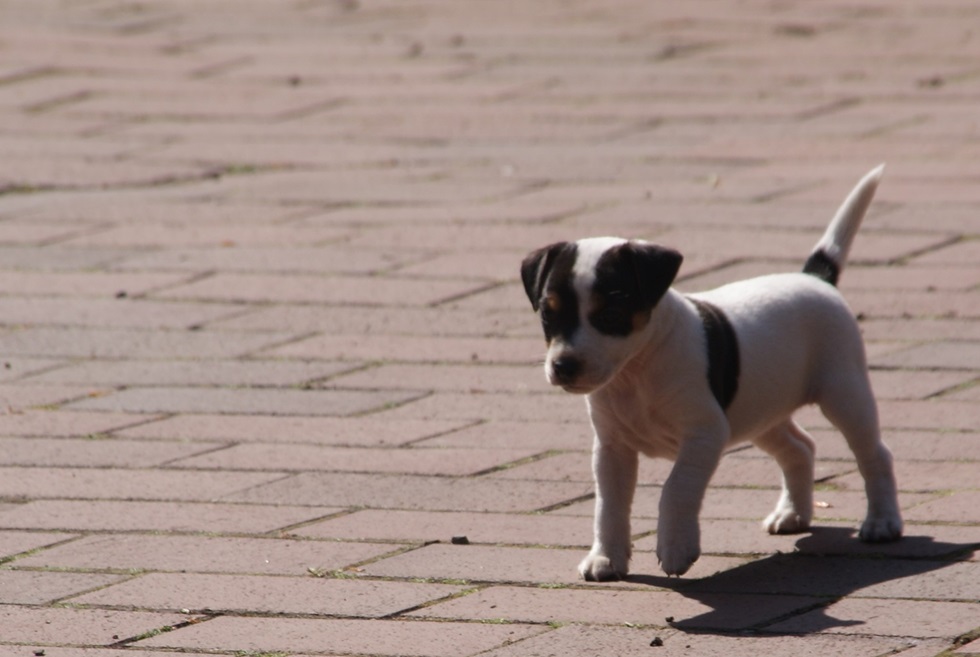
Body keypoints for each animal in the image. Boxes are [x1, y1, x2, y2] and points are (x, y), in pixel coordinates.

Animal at [520, 165, 902, 579]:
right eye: (547, 314)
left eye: (610, 314)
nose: (563, 366)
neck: (636, 371)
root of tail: (815, 279)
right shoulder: (611, 448)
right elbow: (608, 506)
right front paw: (606, 558)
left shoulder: (705, 433)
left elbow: (676, 489)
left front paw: (675, 548)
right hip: (760, 412)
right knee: (800, 447)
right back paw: (792, 514)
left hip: (844, 394)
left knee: (874, 454)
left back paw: (882, 522)